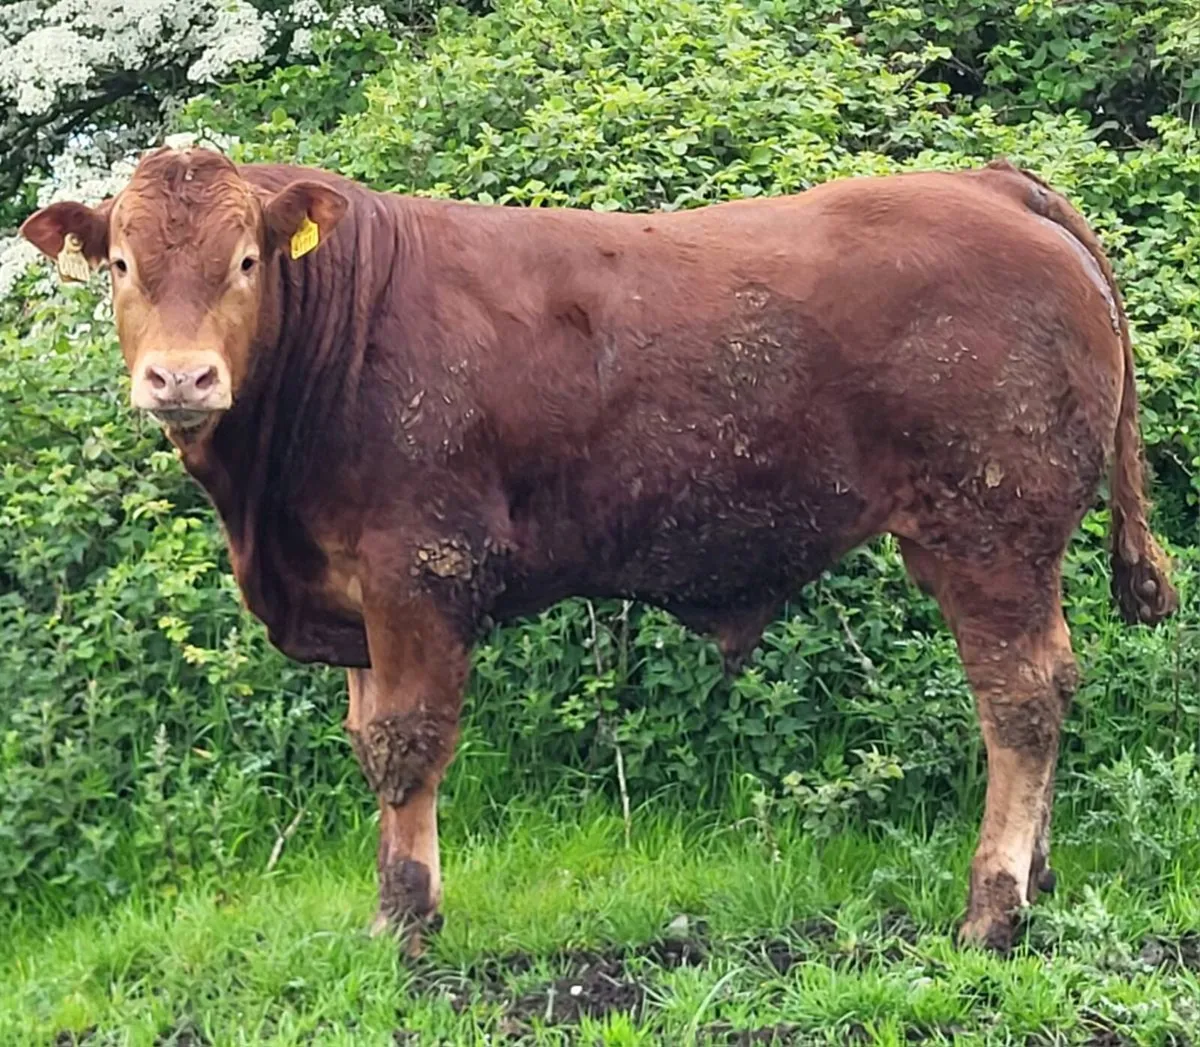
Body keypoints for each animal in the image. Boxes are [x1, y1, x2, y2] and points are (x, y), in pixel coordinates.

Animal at [20, 146, 1177, 955]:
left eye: (247, 261)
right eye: (120, 264)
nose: (180, 379)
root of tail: (993, 184)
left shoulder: (420, 568)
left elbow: (407, 744)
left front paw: (409, 923)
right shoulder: (352, 593)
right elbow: (369, 745)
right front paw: (393, 910)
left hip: (990, 528)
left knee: (1018, 699)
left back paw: (993, 910)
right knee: (1051, 684)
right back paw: (1038, 882)